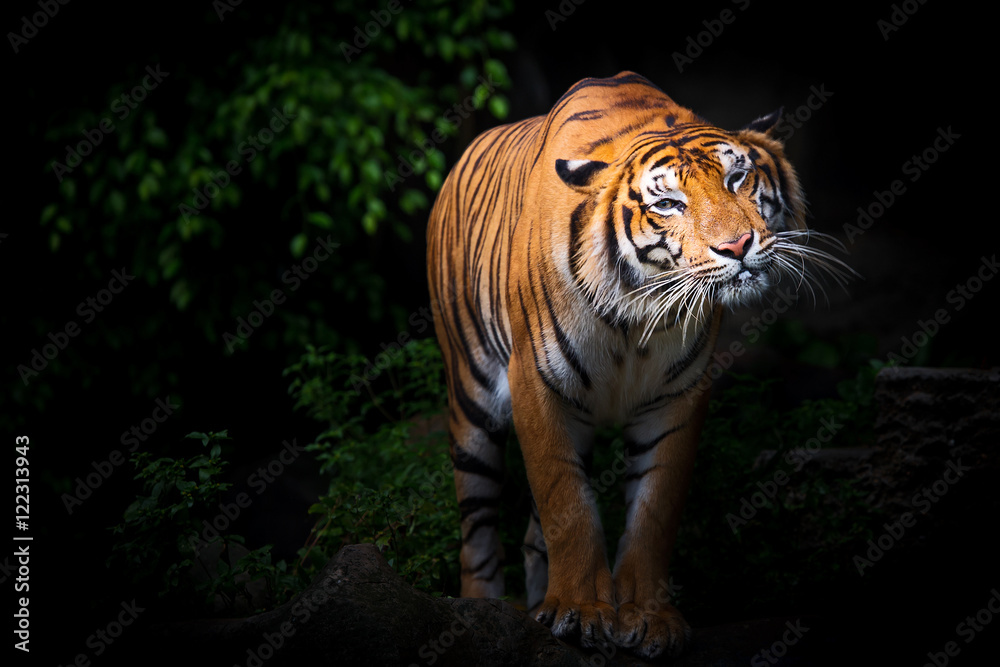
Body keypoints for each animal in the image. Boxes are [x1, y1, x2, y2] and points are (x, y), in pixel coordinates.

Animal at [426, 71, 846, 659]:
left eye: (738, 177)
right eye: (668, 203)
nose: (738, 246)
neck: (637, 313)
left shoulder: (676, 396)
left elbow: (653, 509)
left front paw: (647, 619)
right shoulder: (536, 383)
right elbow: (566, 504)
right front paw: (581, 611)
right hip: (471, 403)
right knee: (478, 531)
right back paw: (483, 609)